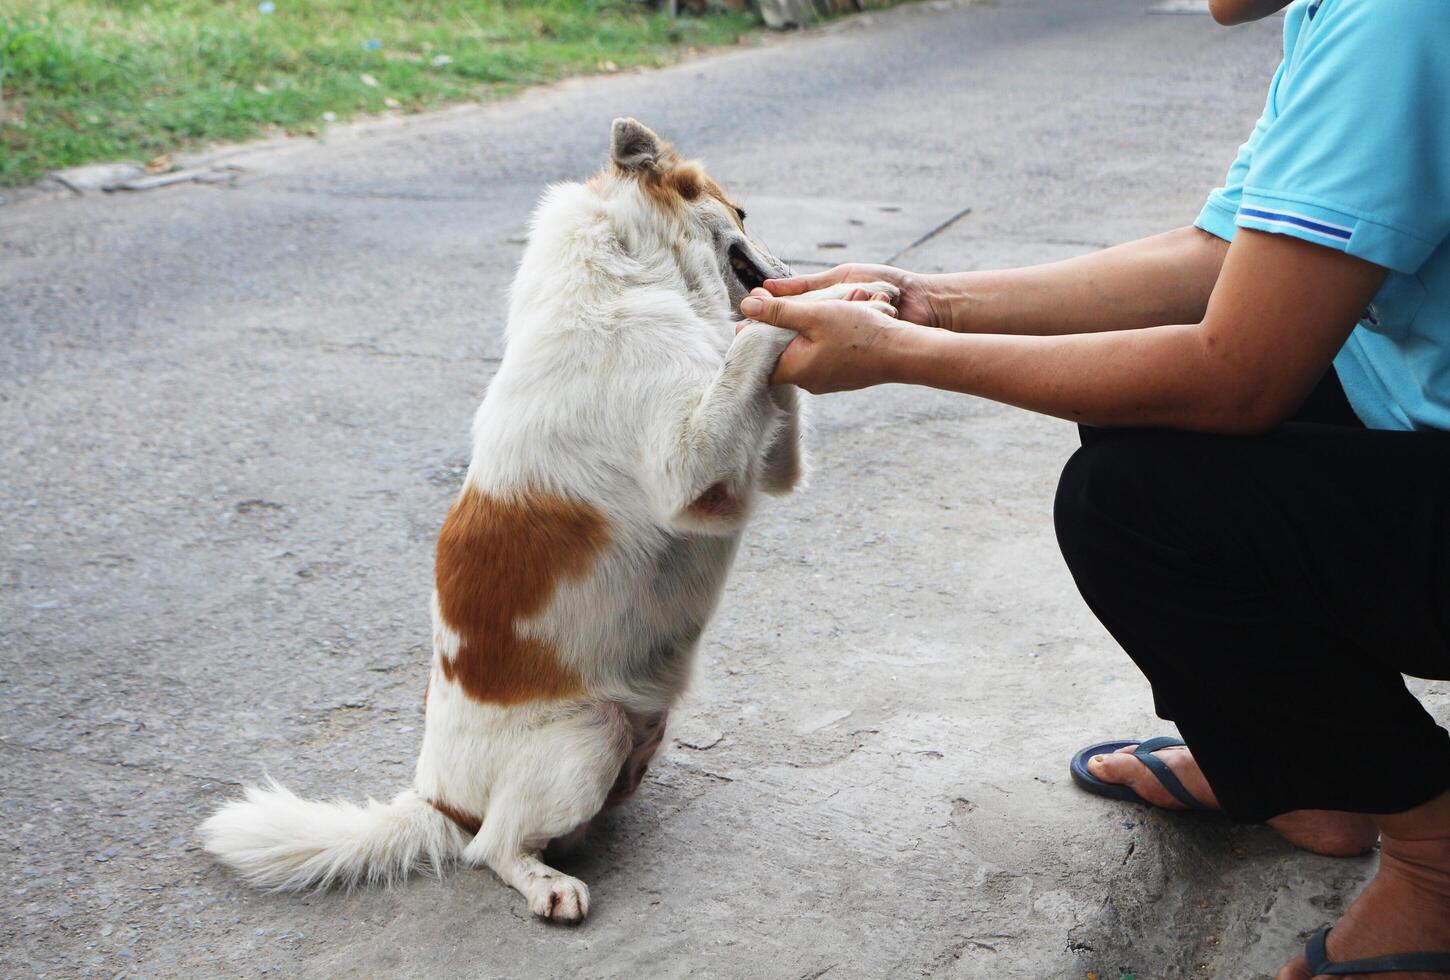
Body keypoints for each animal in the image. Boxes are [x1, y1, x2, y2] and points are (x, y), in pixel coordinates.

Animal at [195, 118, 893, 922]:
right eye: (741, 213)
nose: (790, 266)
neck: (628, 273)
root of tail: (436, 800)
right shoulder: (691, 475)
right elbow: (752, 337)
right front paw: (840, 293)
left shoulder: (751, 471)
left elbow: (757, 362)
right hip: (590, 731)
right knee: (490, 849)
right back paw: (545, 883)